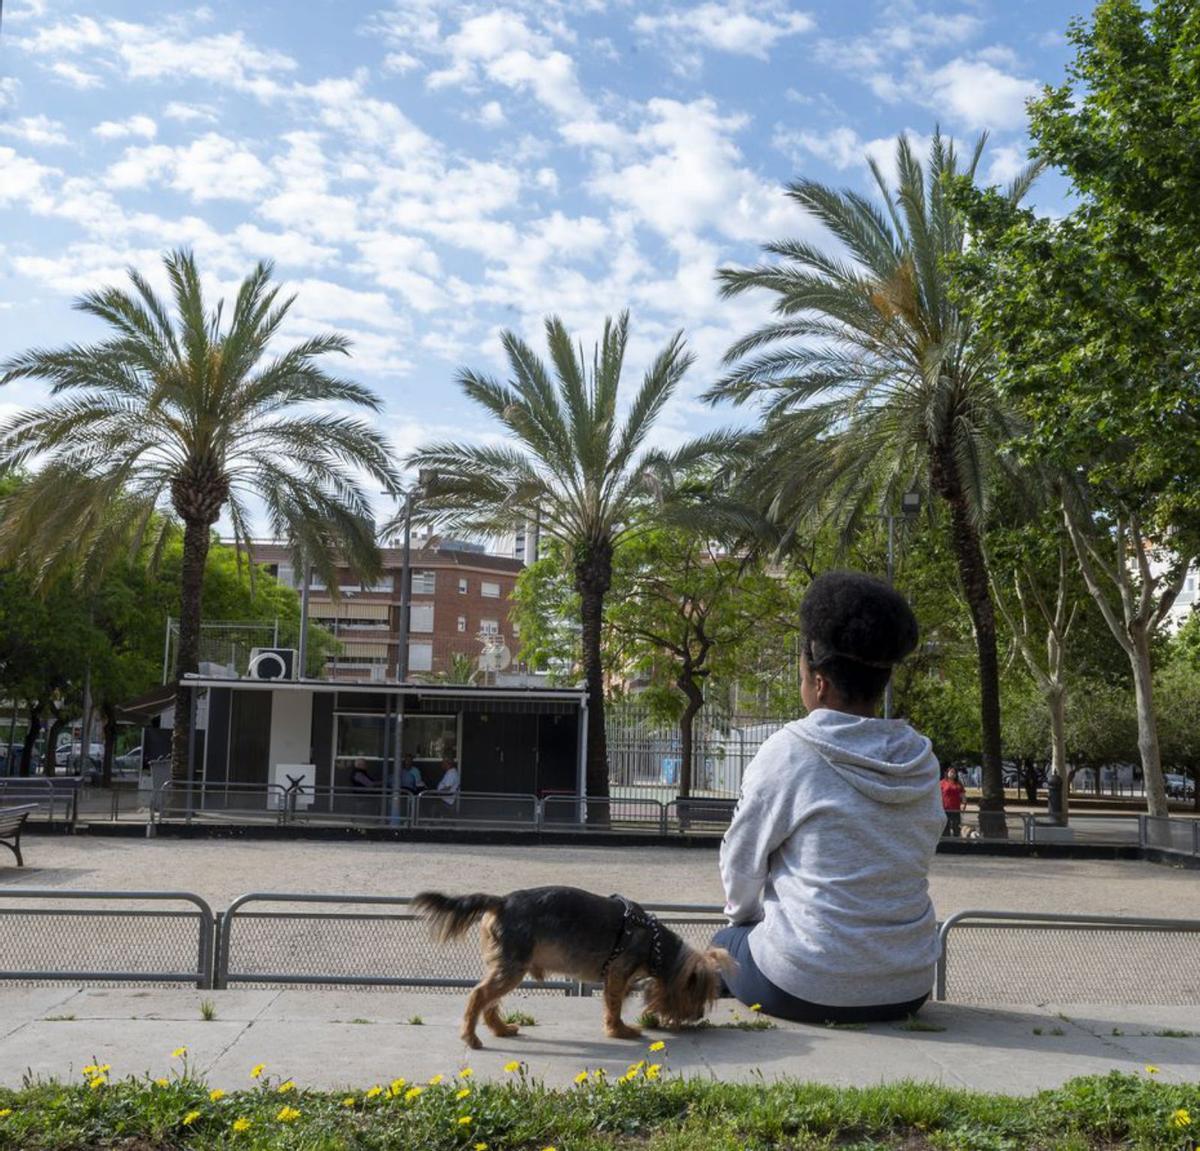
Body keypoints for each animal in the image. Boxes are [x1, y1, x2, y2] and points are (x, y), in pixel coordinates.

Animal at [412, 888, 729, 1046]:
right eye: (698, 995)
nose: (699, 1016)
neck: (653, 942)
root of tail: (502, 901)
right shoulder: (617, 974)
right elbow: (614, 1005)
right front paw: (619, 1031)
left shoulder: (619, 977)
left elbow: (615, 1001)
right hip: (513, 968)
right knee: (479, 995)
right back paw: (471, 1037)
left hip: (508, 966)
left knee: (489, 1000)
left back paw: (500, 1029)